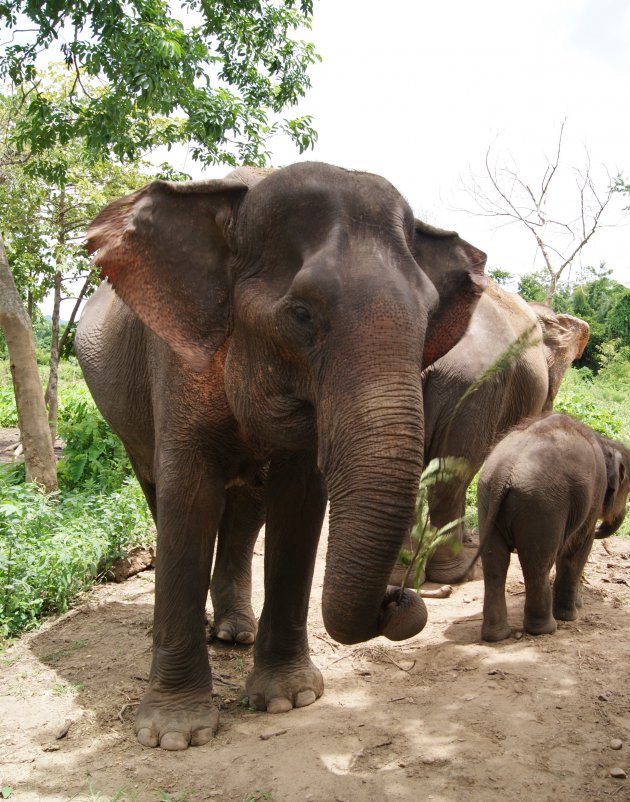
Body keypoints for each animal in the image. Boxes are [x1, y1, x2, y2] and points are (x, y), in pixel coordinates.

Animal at [75, 162, 488, 752]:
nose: (398, 596)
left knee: (248, 507)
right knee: (159, 490)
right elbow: (189, 500)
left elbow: (298, 504)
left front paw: (289, 700)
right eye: (301, 313)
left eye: (429, 316)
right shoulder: (176, 359)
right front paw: (174, 736)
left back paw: (233, 632)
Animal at [478, 410, 630, 640]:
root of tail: (504, 472)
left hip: (487, 499)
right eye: (628, 489)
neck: (604, 441)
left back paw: (496, 635)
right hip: (542, 505)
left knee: (494, 564)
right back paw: (546, 628)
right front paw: (571, 615)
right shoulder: (593, 496)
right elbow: (577, 550)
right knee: (537, 564)